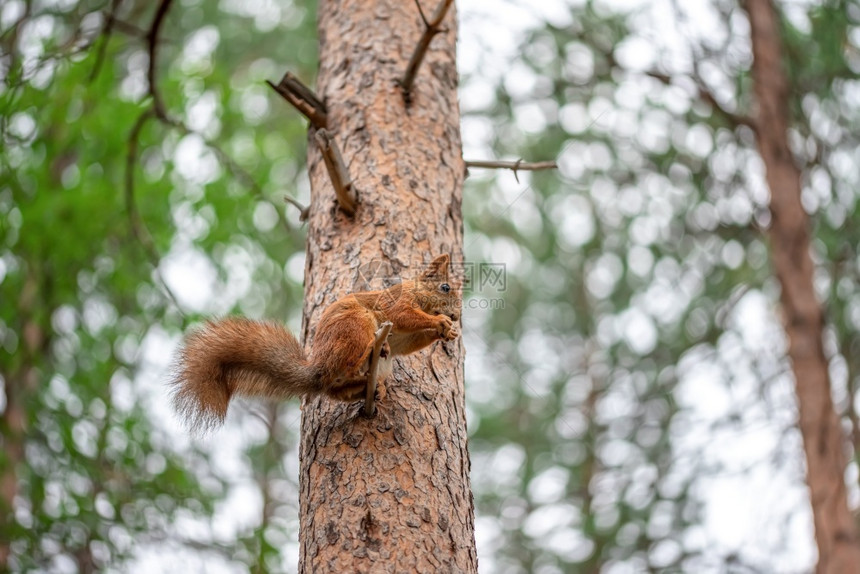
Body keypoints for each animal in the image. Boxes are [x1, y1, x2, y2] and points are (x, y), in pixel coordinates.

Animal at [170, 254, 460, 430]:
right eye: (445, 288)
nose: (456, 315)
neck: (418, 294)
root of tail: (320, 368)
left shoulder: (404, 338)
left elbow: (410, 342)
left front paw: (447, 332)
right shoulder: (397, 303)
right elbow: (405, 316)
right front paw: (440, 322)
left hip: (361, 369)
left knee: (339, 389)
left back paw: (373, 389)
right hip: (356, 324)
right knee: (351, 362)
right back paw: (370, 352)